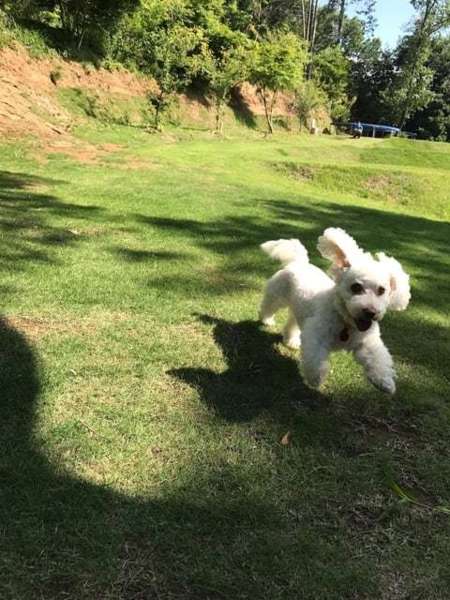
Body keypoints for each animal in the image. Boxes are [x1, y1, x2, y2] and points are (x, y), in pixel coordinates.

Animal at [260, 229, 412, 394]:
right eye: (356, 287)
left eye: (382, 290)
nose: (370, 312)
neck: (345, 321)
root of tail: (299, 262)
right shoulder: (316, 335)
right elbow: (314, 358)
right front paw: (316, 378)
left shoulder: (366, 343)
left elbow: (377, 358)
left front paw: (384, 381)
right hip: (277, 296)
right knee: (268, 307)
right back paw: (267, 320)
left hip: (299, 310)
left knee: (292, 323)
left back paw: (291, 340)